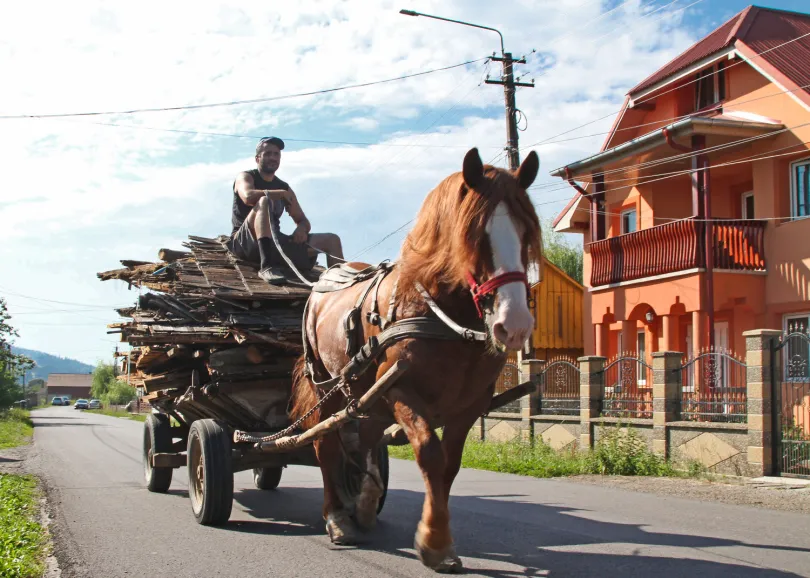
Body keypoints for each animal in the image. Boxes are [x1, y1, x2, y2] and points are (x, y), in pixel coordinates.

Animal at [288, 146, 540, 568]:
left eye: (526, 234)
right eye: (474, 235)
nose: (515, 324)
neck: (443, 317)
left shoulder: (468, 406)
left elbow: (450, 465)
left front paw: (437, 537)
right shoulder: (400, 391)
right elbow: (430, 455)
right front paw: (434, 541)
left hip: (366, 394)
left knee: (365, 437)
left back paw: (365, 502)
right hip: (328, 385)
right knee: (327, 445)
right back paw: (337, 517)